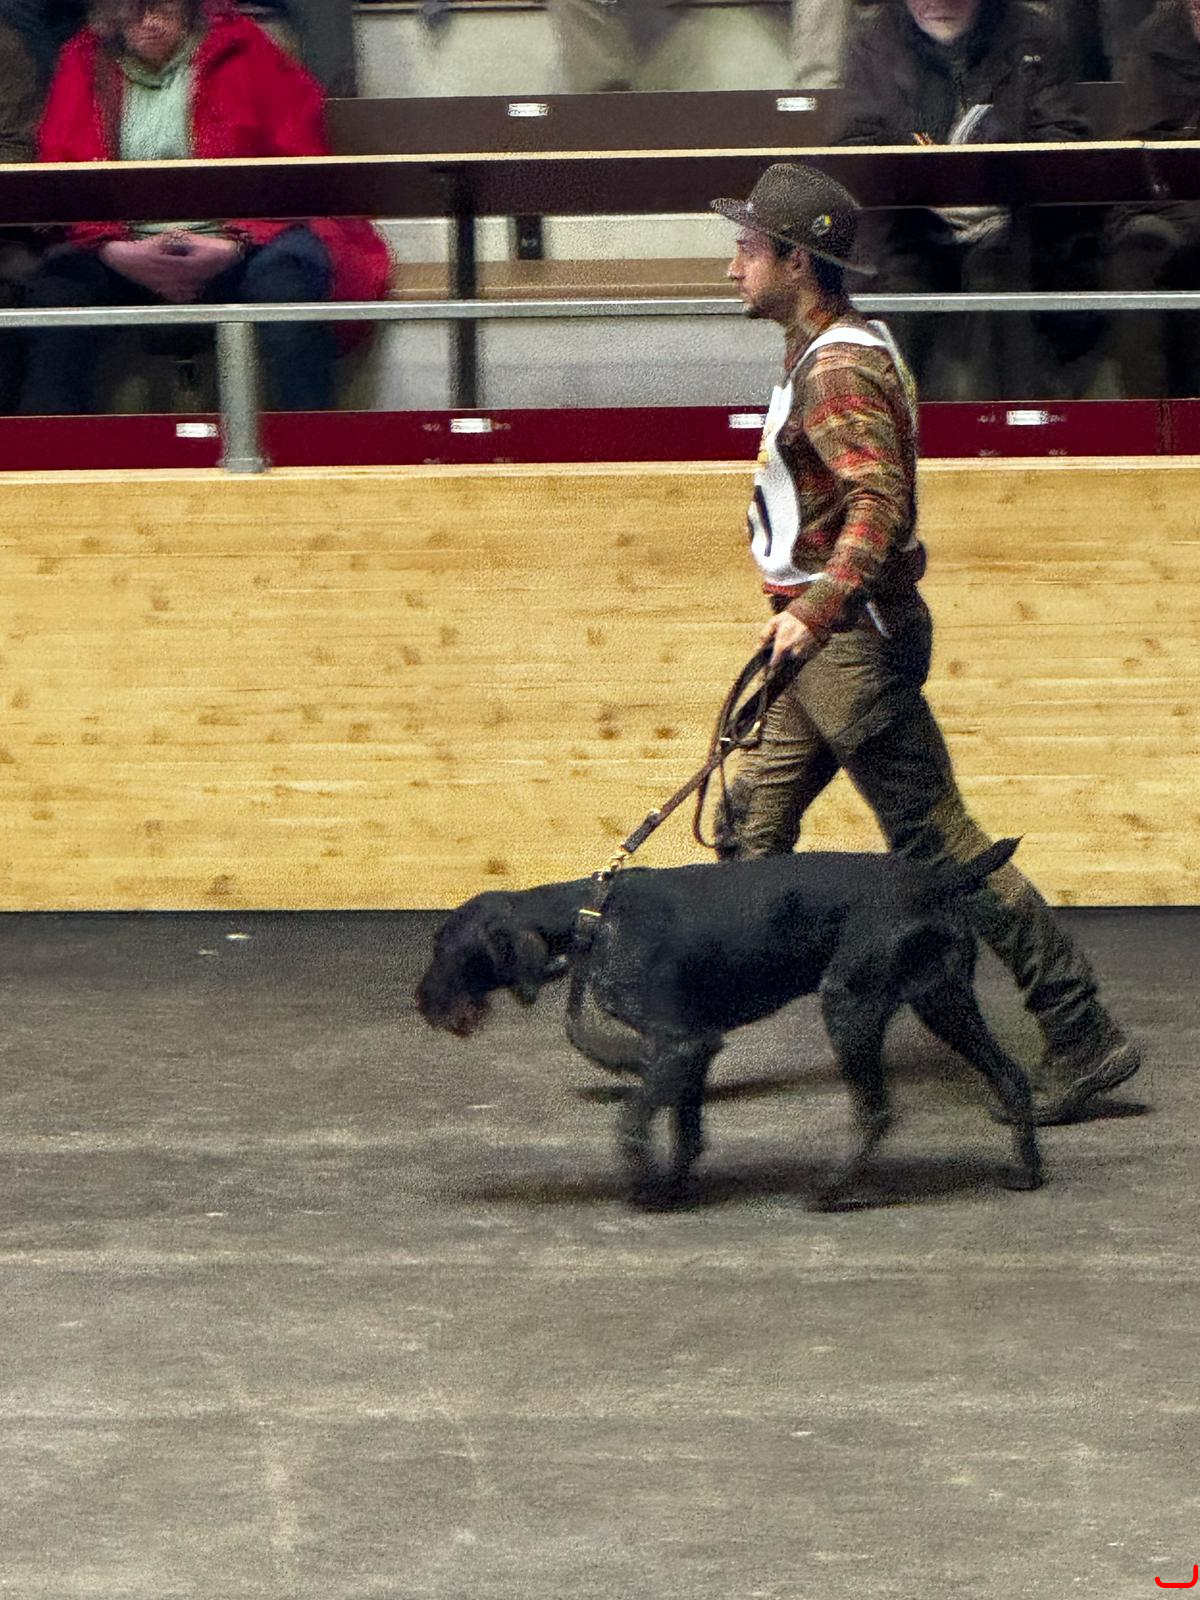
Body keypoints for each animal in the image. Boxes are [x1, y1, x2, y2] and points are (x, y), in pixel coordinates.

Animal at [416, 840, 1042, 1209]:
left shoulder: (681, 1045)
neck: (589, 920)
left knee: (876, 1110)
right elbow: (686, 1133)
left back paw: (832, 1190)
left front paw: (646, 1188)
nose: (420, 1003)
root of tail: (939, 882)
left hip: (851, 1005)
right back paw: (1029, 1173)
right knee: (1012, 1078)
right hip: (942, 1003)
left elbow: (631, 1125)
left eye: (445, 946)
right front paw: (673, 1190)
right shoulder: (688, 1052)